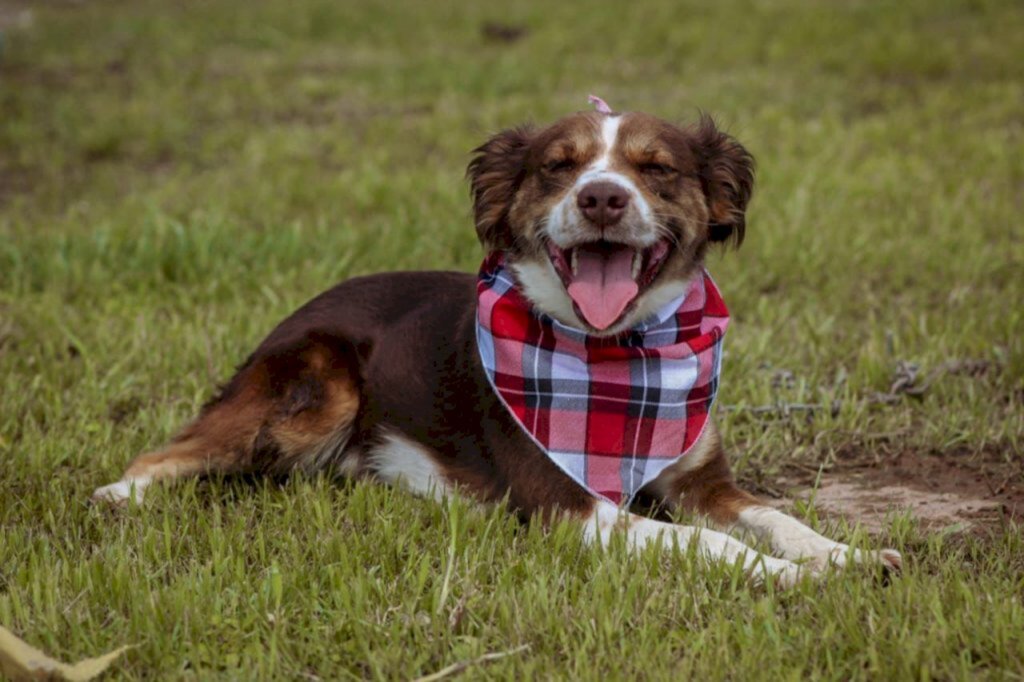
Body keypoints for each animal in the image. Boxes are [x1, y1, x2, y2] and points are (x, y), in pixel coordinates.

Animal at [92, 102, 901, 585]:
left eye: (656, 168)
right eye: (558, 165)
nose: (600, 197)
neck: (620, 354)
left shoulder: (703, 484)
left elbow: (776, 518)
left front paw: (849, 554)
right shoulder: (568, 505)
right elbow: (713, 545)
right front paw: (799, 579)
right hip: (316, 390)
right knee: (165, 454)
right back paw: (119, 498)